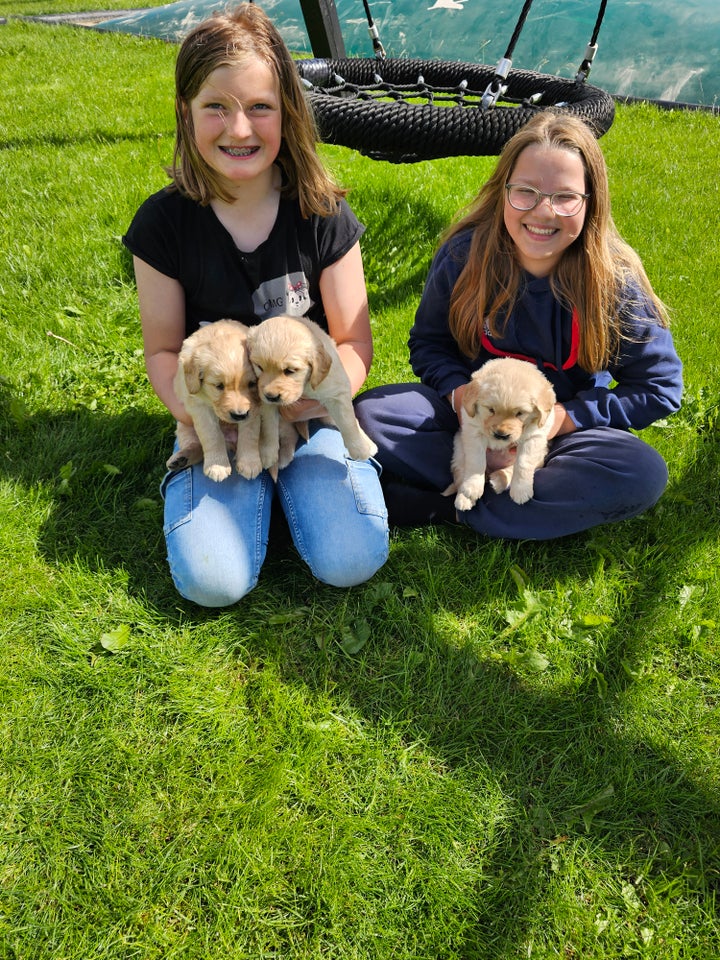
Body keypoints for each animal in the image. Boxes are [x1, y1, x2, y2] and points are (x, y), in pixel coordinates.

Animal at [167, 322, 264, 484]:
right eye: (219, 386)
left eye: (252, 384)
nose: (239, 415)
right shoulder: (199, 406)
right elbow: (211, 435)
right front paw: (217, 465)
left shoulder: (254, 409)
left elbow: (250, 433)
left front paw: (249, 463)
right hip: (183, 425)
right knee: (196, 445)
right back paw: (181, 458)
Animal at [248, 316, 380, 464]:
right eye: (259, 367)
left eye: (290, 371)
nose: (271, 396)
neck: (305, 387)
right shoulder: (264, 398)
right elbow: (268, 425)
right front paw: (268, 454)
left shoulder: (337, 391)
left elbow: (347, 421)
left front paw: (360, 449)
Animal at [444, 358, 556, 510]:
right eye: (491, 409)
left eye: (520, 413)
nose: (501, 435)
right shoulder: (472, 430)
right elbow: (476, 462)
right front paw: (472, 489)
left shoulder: (535, 436)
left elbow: (523, 463)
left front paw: (521, 490)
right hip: (459, 450)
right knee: (461, 474)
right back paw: (464, 497)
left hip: (540, 456)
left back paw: (498, 480)